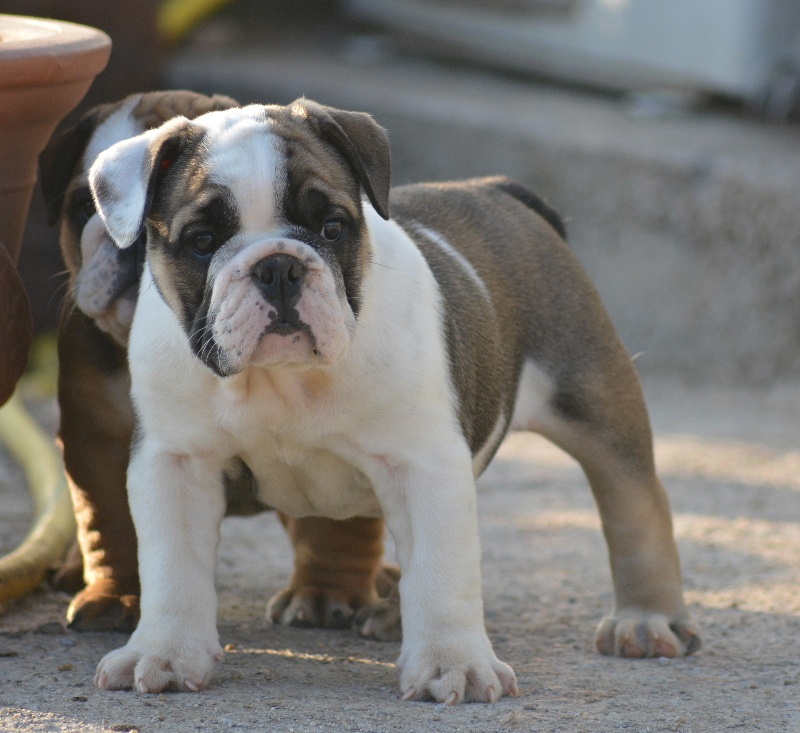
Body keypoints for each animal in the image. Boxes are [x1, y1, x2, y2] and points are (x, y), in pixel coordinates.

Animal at [41, 91, 399, 637]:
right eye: (85, 207)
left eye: (331, 228)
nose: (136, 243)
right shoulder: (97, 440)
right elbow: (111, 523)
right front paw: (117, 593)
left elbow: (333, 524)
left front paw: (326, 591)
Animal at [87, 99, 700, 703]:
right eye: (202, 241)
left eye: (333, 227)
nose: (278, 265)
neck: (284, 380)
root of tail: (496, 189)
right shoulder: (175, 464)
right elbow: (172, 568)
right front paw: (165, 652)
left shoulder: (424, 466)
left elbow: (441, 568)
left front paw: (454, 664)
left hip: (591, 396)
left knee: (633, 500)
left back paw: (646, 620)